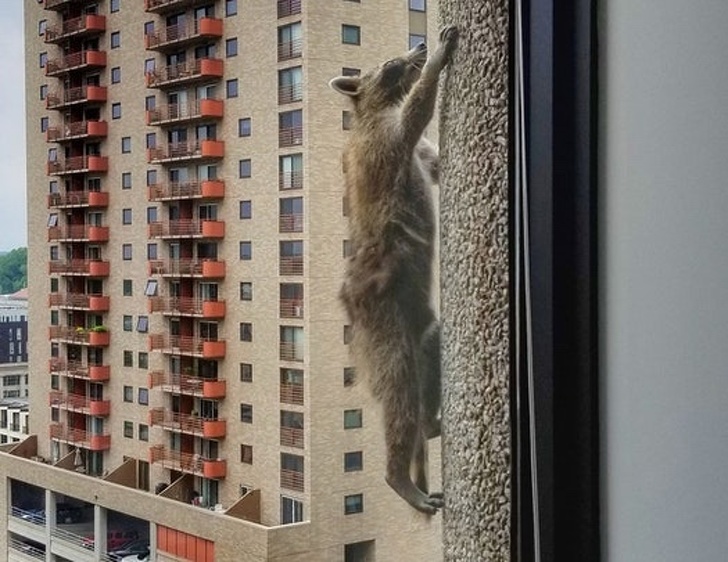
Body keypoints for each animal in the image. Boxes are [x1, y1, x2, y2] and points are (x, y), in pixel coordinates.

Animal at [330, 25, 458, 514]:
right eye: (389, 64)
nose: (418, 47)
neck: (368, 110)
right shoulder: (384, 142)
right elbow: (415, 114)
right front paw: (437, 61)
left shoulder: (415, 152)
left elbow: (433, 162)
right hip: (381, 323)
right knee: (400, 397)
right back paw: (397, 476)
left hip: (415, 320)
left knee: (430, 349)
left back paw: (431, 423)